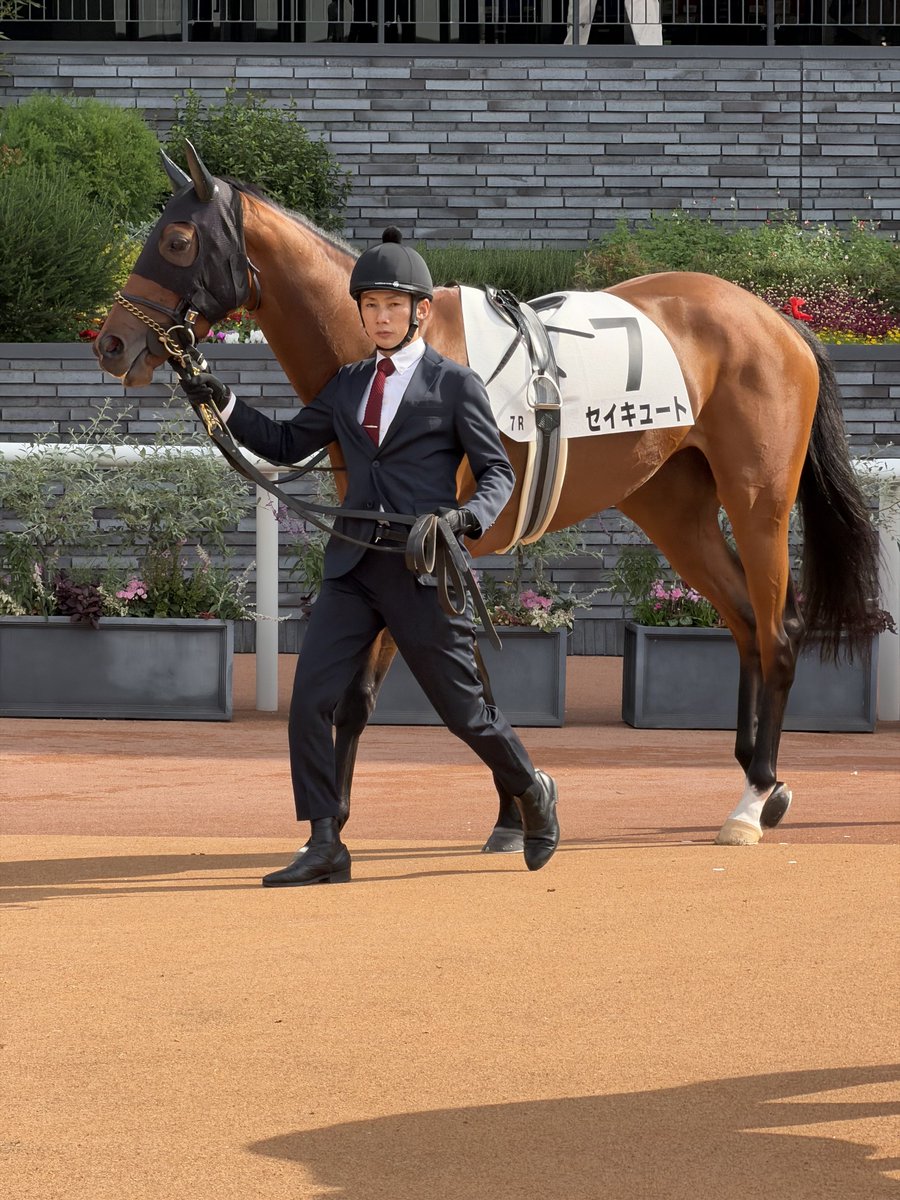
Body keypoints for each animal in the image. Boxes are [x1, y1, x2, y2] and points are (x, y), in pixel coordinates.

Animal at [94, 143, 881, 849]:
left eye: (177, 239)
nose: (111, 342)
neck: (392, 350)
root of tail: (780, 322)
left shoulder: (418, 539)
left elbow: (376, 693)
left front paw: (343, 823)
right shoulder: (418, 542)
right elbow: (470, 684)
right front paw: (514, 811)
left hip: (758, 502)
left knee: (778, 631)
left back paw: (754, 799)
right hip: (672, 508)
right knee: (745, 623)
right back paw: (760, 782)